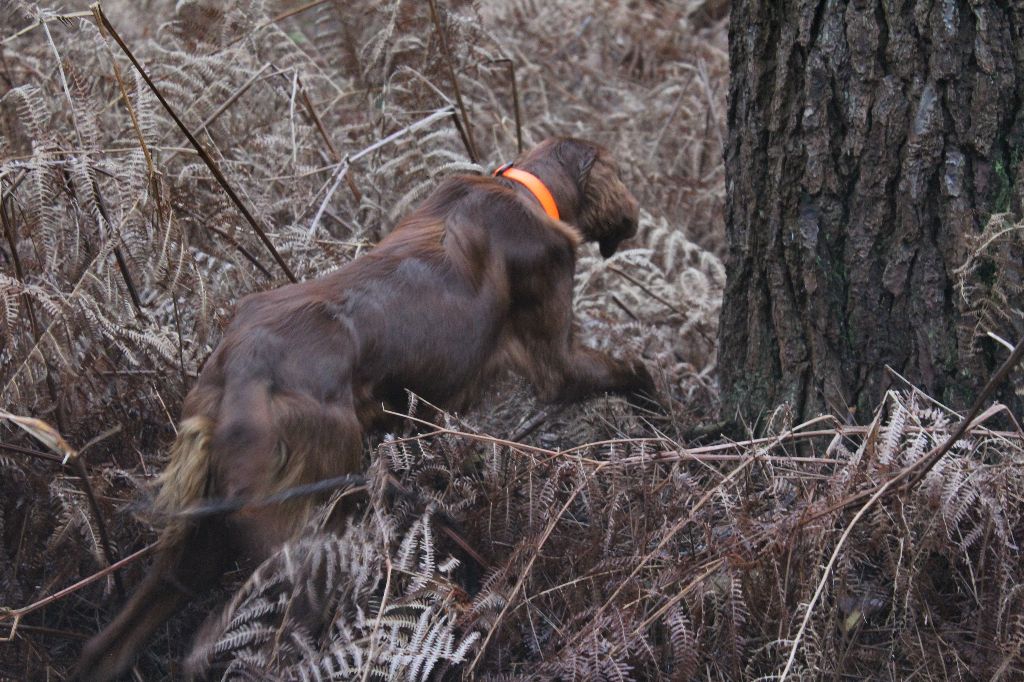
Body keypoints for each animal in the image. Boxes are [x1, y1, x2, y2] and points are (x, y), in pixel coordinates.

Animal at [77, 135, 655, 675]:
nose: (637, 216)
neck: (523, 188)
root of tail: (243, 375)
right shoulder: (556, 360)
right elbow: (633, 369)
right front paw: (658, 416)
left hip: (198, 543)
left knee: (111, 644)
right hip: (307, 534)